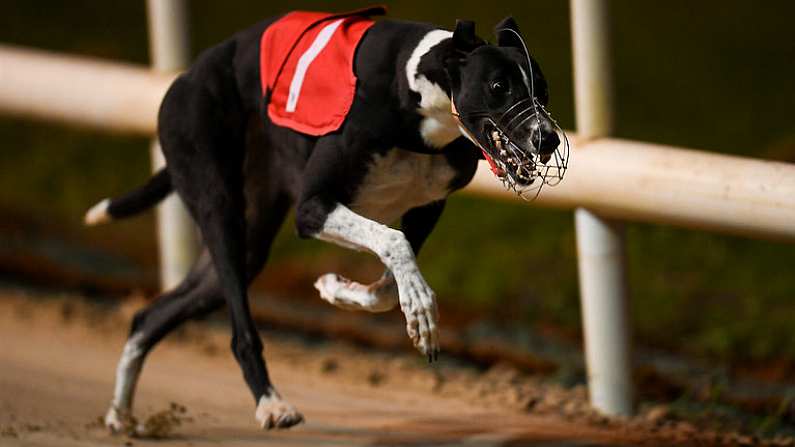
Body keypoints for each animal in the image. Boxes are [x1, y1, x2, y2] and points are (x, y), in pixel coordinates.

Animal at [85, 7, 564, 432]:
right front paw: (419, 307)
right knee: (240, 329)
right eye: (499, 85)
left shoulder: (427, 206)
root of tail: (183, 79)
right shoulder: (313, 207)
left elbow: (387, 286)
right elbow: (392, 242)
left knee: (149, 316)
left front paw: (341, 290)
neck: (415, 91)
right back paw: (271, 405)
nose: (549, 139)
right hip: (218, 206)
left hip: (246, 244)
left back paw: (120, 413)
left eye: (542, 87)